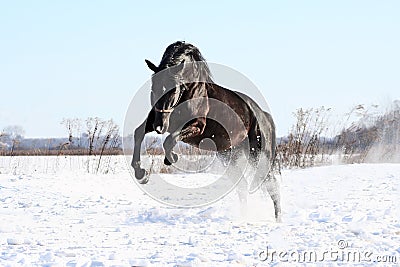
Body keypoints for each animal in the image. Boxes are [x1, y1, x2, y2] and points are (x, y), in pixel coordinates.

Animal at [131, 41, 282, 222]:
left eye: (174, 90)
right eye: (153, 88)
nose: (160, 127)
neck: (190, 90)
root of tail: (265, 116)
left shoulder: (196, 126)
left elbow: (169, 140)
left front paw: (171, 158)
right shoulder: (153, 122)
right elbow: (138, 133)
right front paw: (141, 174)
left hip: (259, 154)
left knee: (272, 185)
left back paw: (278, 220)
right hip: (228, 155)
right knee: (243, 186)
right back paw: (244, 217)